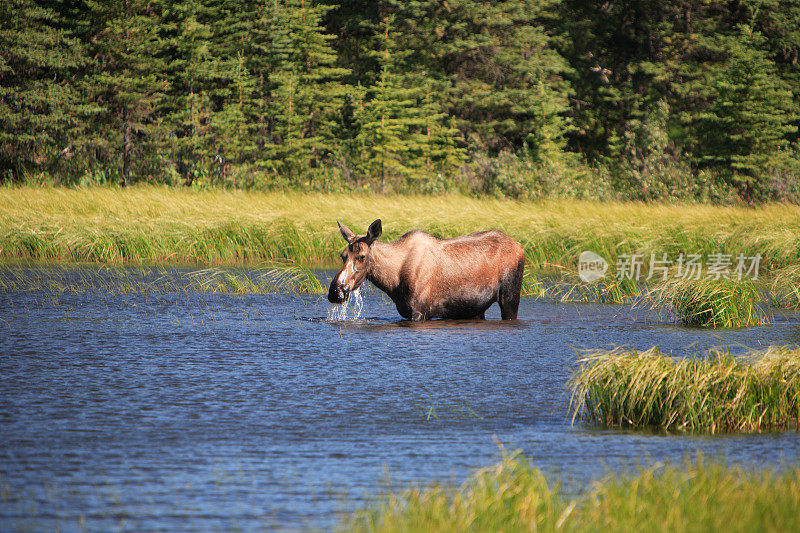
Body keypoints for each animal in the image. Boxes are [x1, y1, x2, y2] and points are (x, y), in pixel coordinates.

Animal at [326, 219, 524, 320]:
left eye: (361, 256)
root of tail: (520, 246)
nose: (335, 291)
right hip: (476, 307)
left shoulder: (420, 312)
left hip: (510, 297)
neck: (393, 282)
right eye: (343, 255)